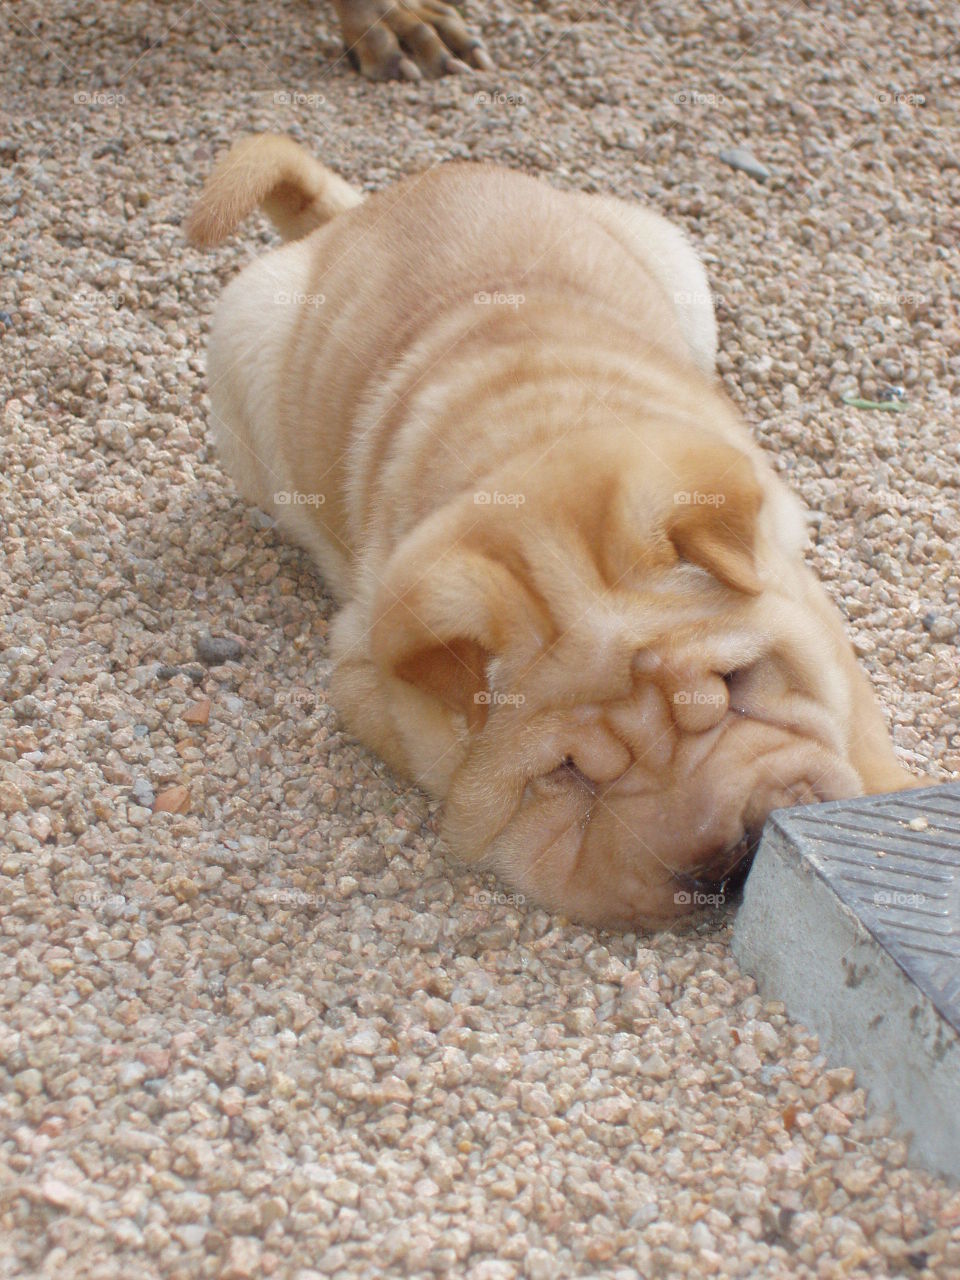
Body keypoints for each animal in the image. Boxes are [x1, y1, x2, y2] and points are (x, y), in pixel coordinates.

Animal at [189, 135, 926, 926]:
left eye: (735, 683)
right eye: (570, 774)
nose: (733, 857)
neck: (531, 447)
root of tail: (372, 204)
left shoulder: (796, 587)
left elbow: (853, 712)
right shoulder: (362, 668)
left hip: (670, 256)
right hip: (240, 341)